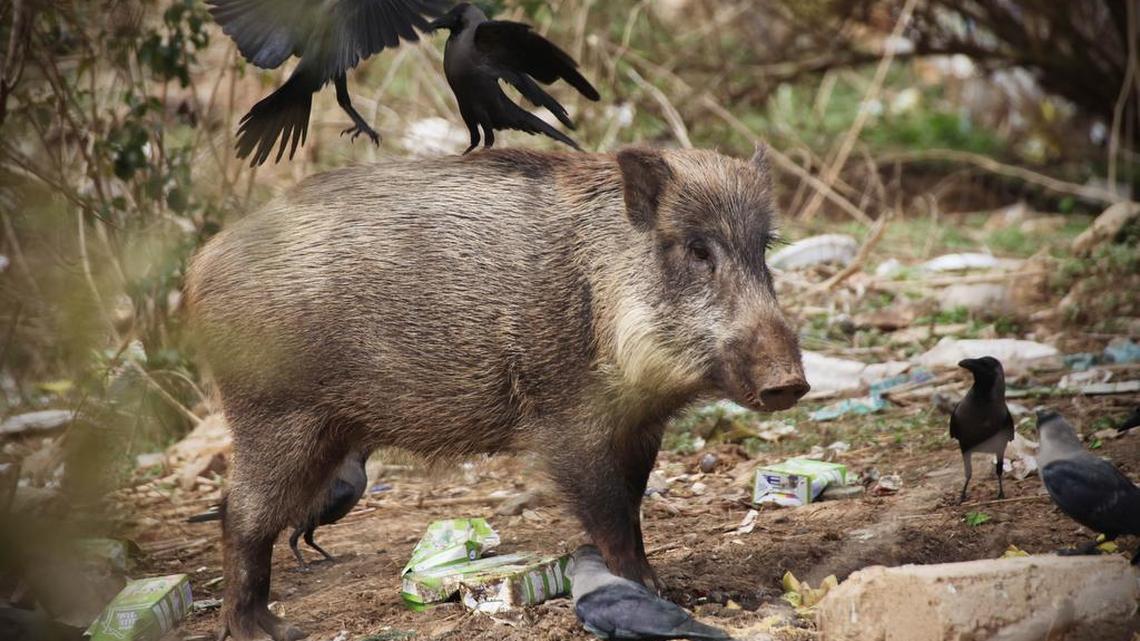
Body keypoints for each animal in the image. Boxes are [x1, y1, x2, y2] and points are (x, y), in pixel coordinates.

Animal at [185, 146, 808, 641]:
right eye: (697, 249)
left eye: (763, 248)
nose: (792, 383)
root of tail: (198, 268)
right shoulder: (567, 425)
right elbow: (609, 517)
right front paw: (649, 589)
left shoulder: (639, 429)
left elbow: (632, 508)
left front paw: (659, 585)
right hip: (274, 418)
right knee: (239, 514)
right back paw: (267, 630)